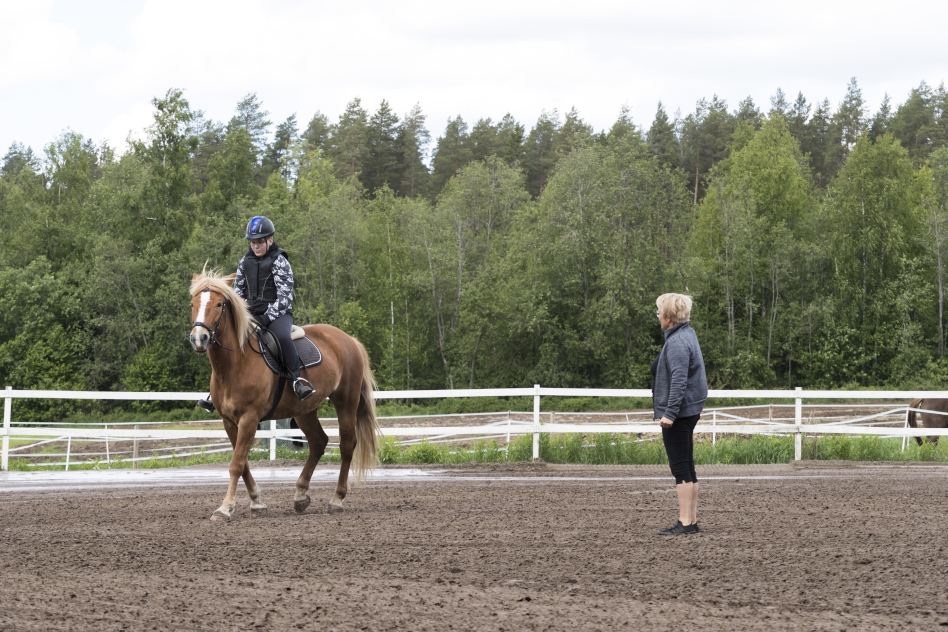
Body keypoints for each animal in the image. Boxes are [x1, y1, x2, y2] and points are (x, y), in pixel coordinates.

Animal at [189, 270, 382, 520]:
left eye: (219, 304)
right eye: (193, 304)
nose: (199, 338)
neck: (236, 363)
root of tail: (350, 340)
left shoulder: (249, 419)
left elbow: (236, 463)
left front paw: (225, 508)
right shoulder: (229, 421)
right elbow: (243, 463)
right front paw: (256, 501)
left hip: (346, 403)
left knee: (347, 446)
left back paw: (336, 500)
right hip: (304, 411)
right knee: (318, 442)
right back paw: (300, 495)